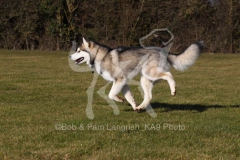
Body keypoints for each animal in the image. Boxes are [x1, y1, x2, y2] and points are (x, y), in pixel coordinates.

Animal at [70, 38, 202, 112]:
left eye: (78, 51)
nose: (70, 56)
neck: (99, 56)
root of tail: (163, 51)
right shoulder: (123, 83)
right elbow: (129, 97)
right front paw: (134, 106)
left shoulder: (119, 79)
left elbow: (111, 95)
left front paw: (119, 99)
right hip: (145, 79)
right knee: (149, 96)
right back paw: (140, 107)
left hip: (151, 73)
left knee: (169, 74)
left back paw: (173, 89)